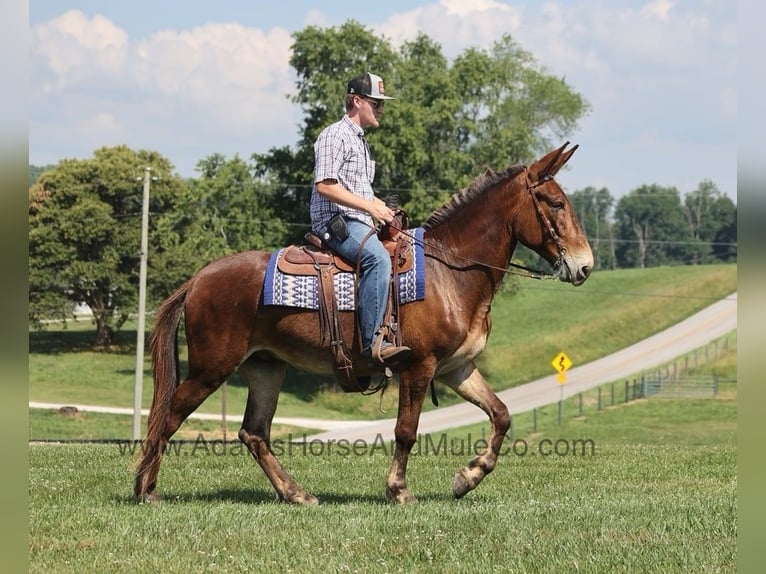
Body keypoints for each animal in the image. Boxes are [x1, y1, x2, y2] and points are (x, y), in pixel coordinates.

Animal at [135, 143, 596, 504]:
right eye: (555, 203)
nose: (586, 265)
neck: (451, 271)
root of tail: (198, 279)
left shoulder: (457, 369)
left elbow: (500, 414)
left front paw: (468, 477)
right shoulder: (419, 367)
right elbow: (406, 430)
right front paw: (399, 489)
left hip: (265, 367)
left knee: (254, 433)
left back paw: (296, 493)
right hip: (211, 368)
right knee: (169, 416)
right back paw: (146, 489)